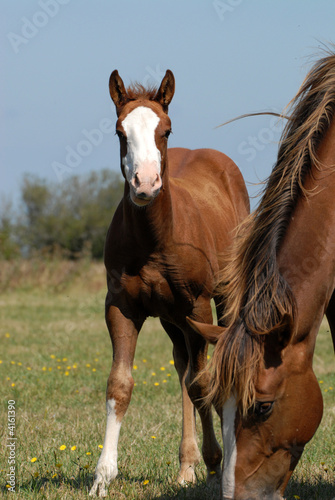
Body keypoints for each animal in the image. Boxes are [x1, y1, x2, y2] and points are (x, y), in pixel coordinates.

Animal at [89, 69, 249, 496]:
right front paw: (102, 477)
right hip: (170, 318)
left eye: (166, 129)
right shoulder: (122, 307)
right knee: (182, 367)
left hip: (222, 299)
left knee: (213, 365)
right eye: (119, 131)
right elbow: (120, 385)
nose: (145, 185)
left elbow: (203, 384)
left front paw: (217, 463)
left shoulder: (197, 305)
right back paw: (186, 466)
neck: (155, 239)